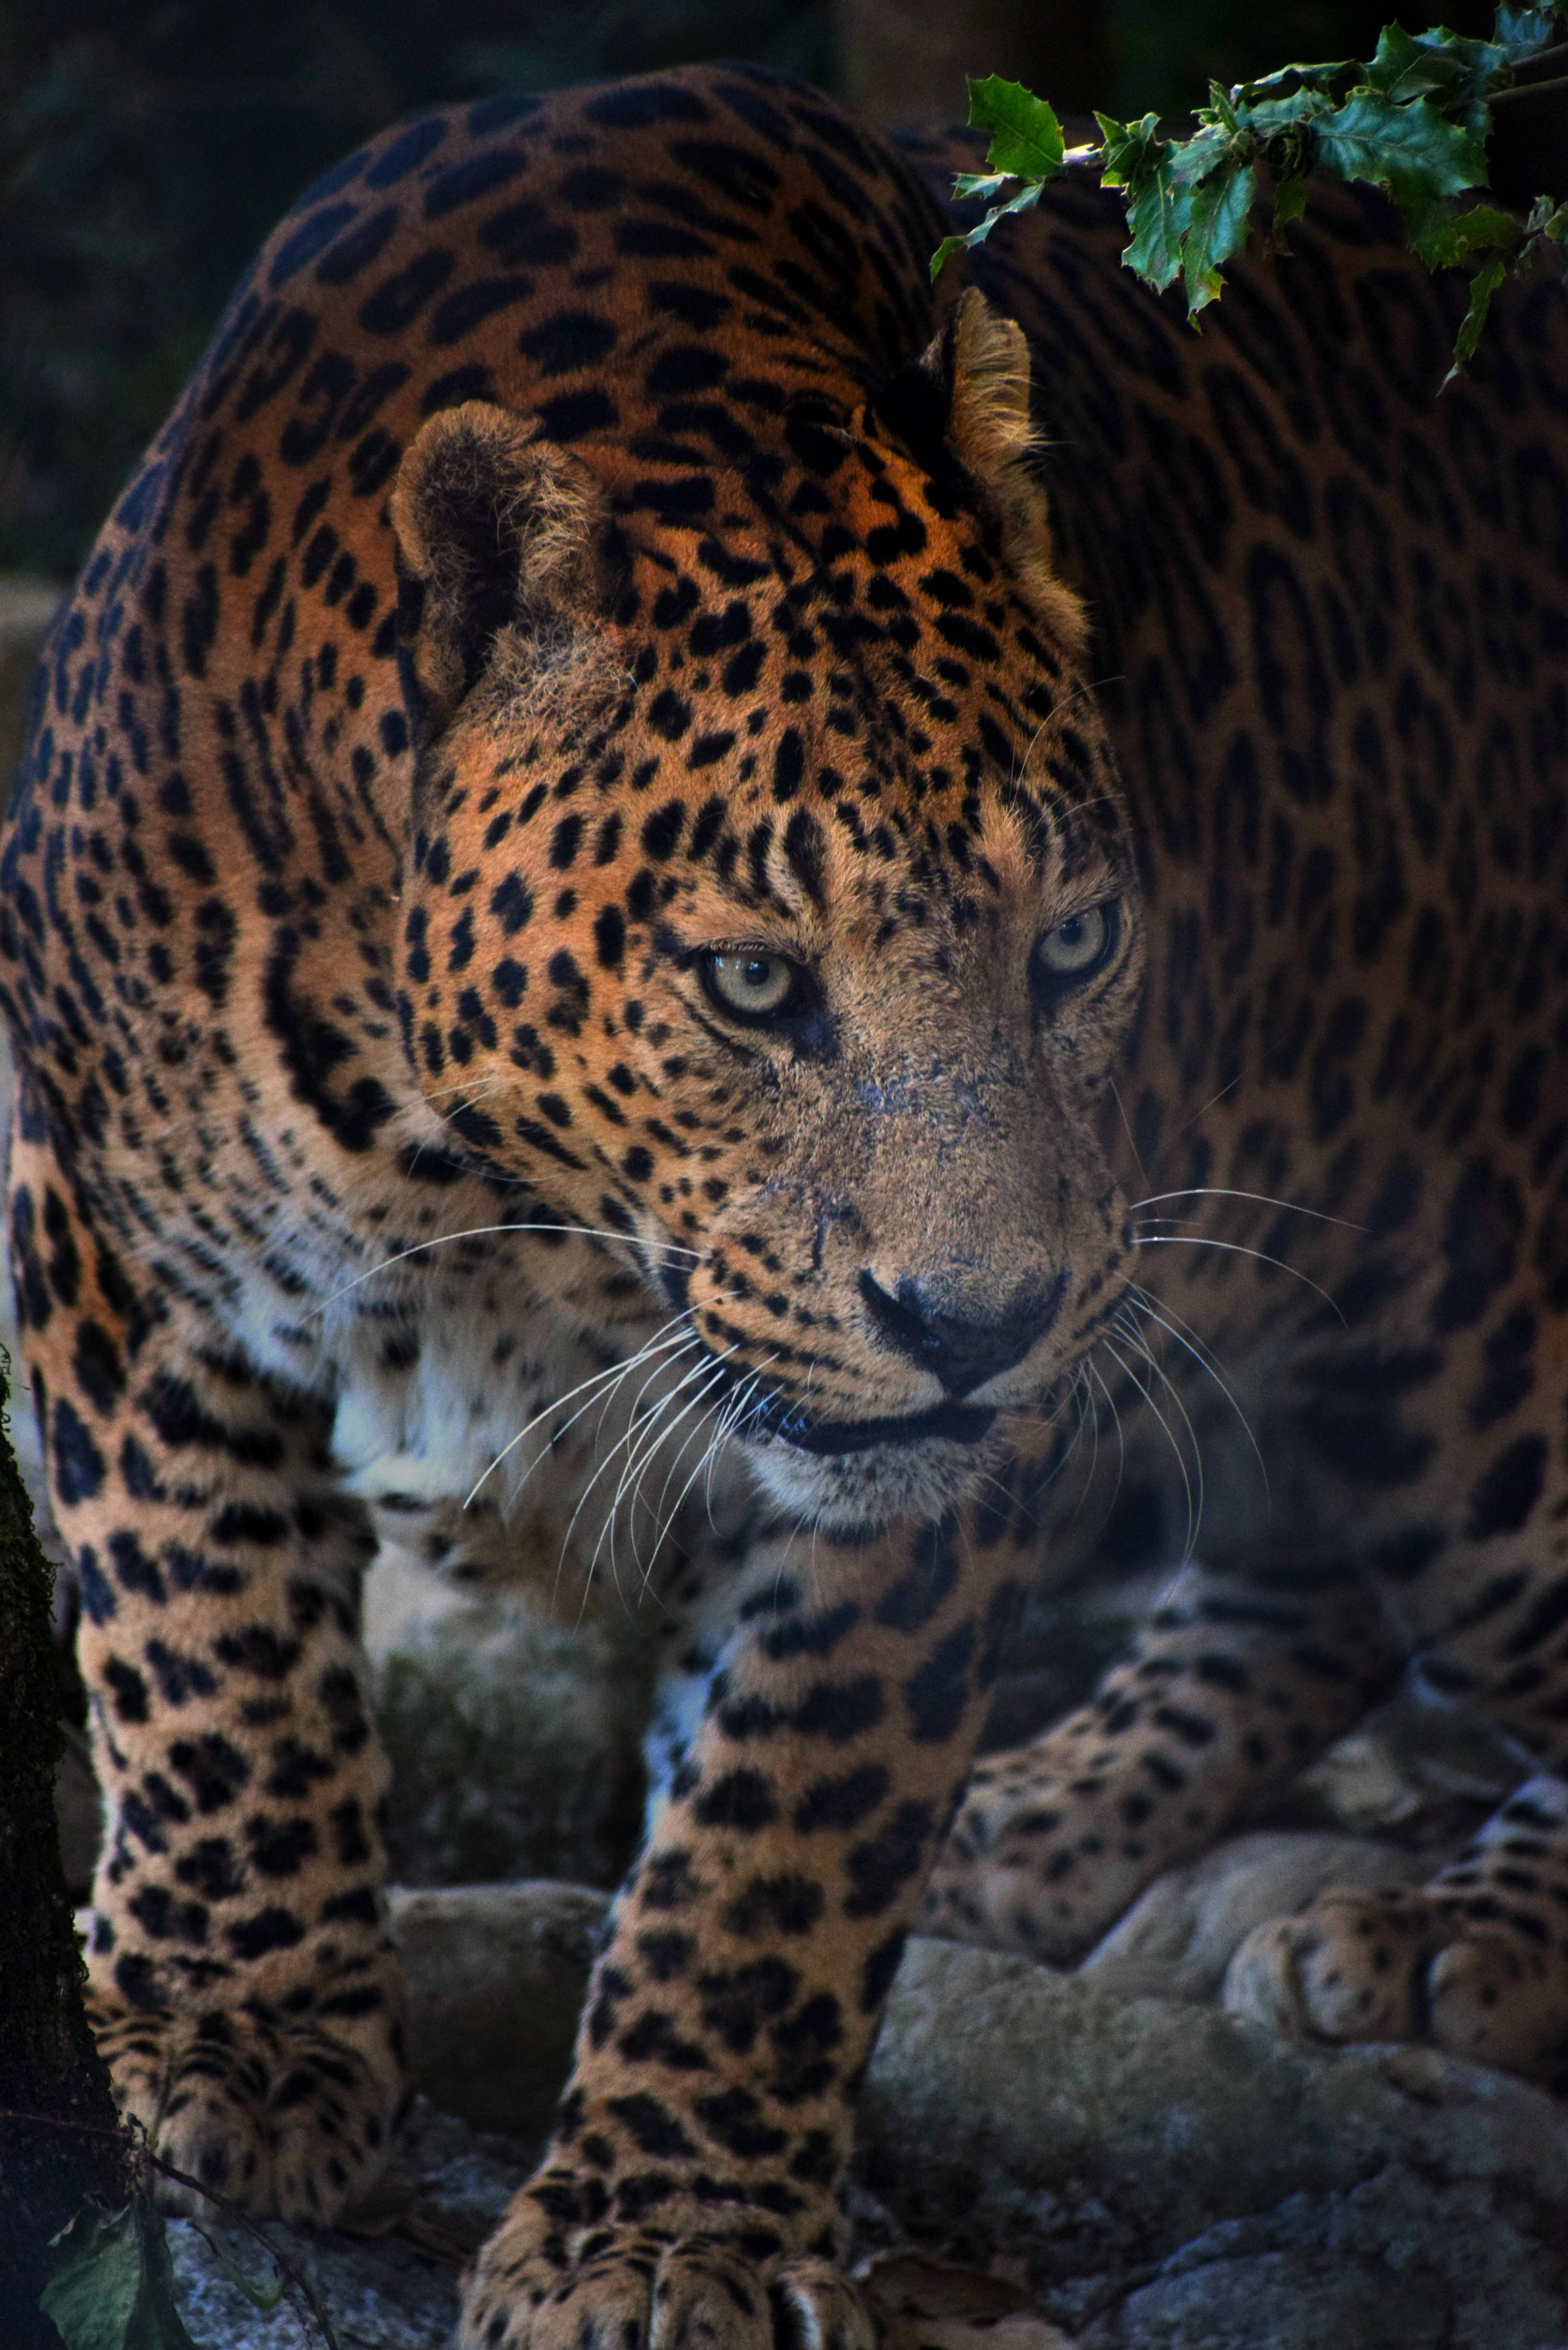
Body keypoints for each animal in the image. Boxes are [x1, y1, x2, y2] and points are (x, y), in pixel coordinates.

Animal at [4, 53, 1568, 2350]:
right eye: (753, 983)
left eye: (1074, 950)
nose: (987, 1326)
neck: (505, 1195)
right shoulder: (110, 1211)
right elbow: (198, 1636)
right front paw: (239, 2021)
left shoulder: (910, 1482)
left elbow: (778, 1835)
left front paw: (660, 2230)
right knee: (1297, 1574)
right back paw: (1041, 1818)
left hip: (1468, 1348)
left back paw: (1461, 1927)